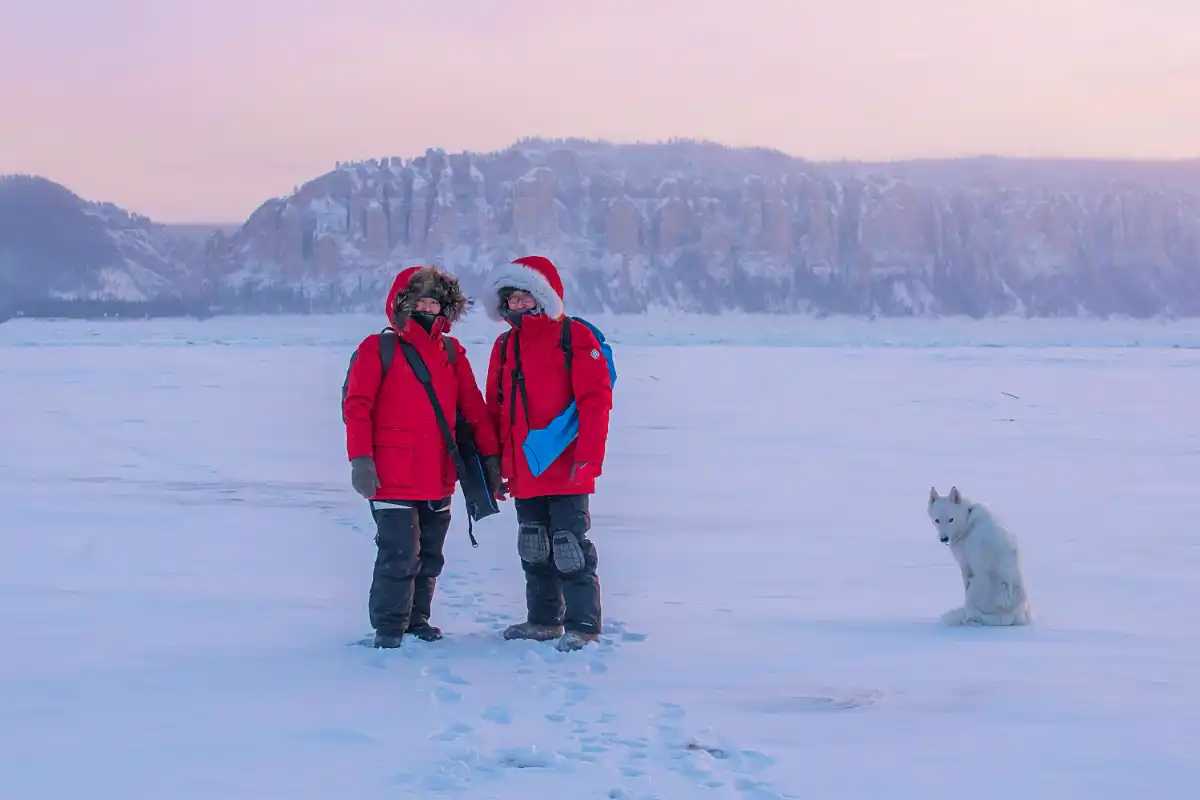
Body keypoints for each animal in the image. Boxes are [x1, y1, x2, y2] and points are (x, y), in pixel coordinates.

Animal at [926, 484, 1032, 628]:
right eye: (937, 520)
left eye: (951, 519)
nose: (944, 539)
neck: (967, 521)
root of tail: (1008, 615)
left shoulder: (965, 567)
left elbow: (964, 588)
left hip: (975, 586)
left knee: (971, 614)